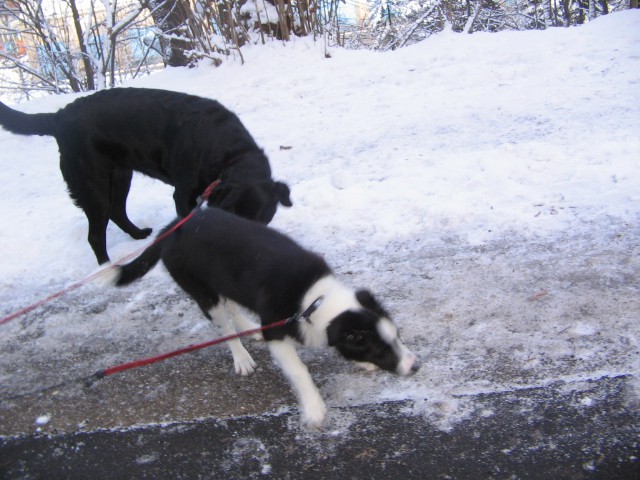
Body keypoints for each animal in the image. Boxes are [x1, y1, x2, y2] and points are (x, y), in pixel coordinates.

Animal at [0, 88, 292, 264]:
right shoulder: (183, 195)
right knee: (96, 233)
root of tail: (59, 116)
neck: (230, 152)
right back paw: (106, 265)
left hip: (121, 174)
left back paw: (138, 234)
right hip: (91, 184)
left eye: (259, 220)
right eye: (229, 212)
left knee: (117, 211)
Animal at [105, 208, 420, 426]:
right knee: (224, 324)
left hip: (226, 281)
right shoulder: (277, 330)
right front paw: (314, 408)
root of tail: (173, 229)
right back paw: (241, 357)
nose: (416, 367)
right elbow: (299, 370)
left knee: (233, 307)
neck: (315, 299)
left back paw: (249, 328)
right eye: (380, 348)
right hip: (203, 291)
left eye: (397, 338)